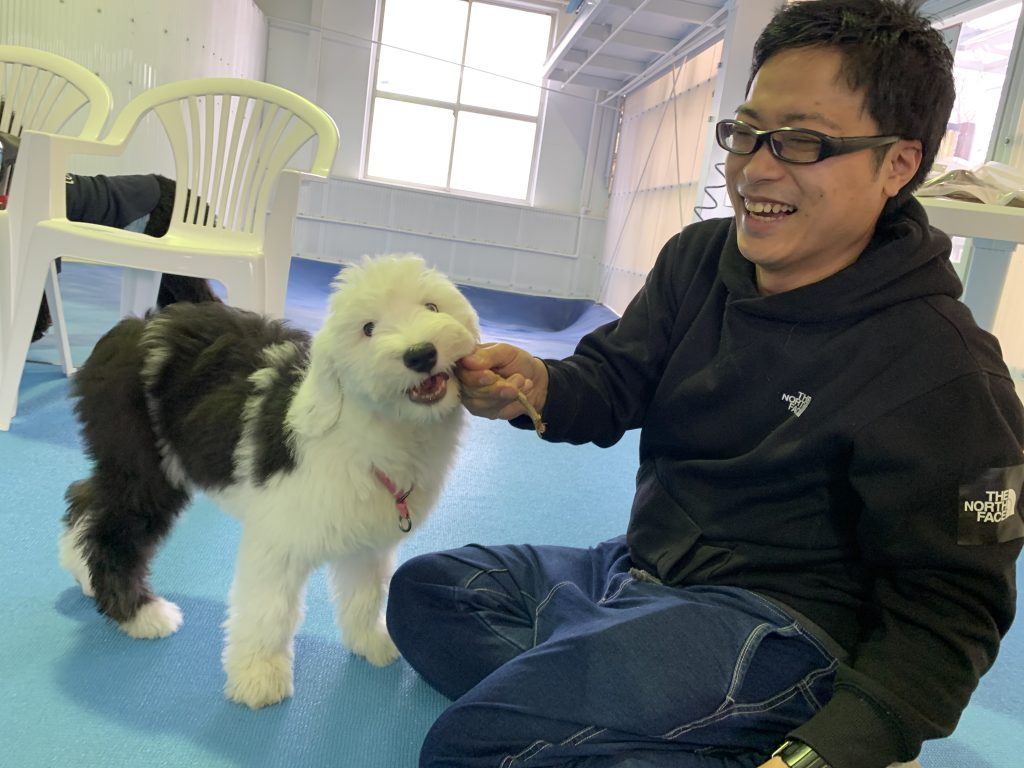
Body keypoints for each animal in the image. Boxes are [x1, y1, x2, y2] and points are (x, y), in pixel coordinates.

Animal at [58, 257, 479, 708]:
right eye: (368, 328)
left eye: (432, 306)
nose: (421, 354)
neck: (364, 429)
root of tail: (134, 328)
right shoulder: (278, 540)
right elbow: (270, 610)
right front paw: (259, 678)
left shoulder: (367, 541)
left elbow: (365, 594)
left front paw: (370, 641)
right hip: (145, 465)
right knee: (114, 529)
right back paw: (139, 614)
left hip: (127, 461)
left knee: (86, 497)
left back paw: (82, 571)